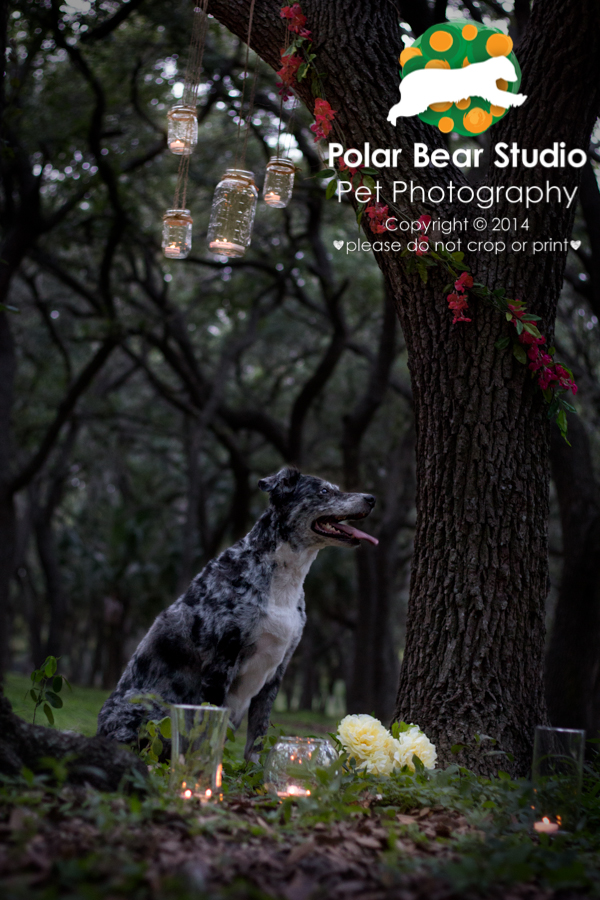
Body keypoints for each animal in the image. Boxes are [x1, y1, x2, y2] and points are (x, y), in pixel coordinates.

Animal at [96, 472, 378, 760]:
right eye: (323, 491)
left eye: (336, 488)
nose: (371, 498)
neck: (282, 577)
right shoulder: (221, 664)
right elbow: (209, 732)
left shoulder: (277, 670)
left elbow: (258, 736)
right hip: (148, 707)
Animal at [390, 55, 524, 125]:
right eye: (511, 69)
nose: (517, 77)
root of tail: (403, 81)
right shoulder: (488, 90)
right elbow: (503, 96)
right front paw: (519, 99)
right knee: (395, 109)